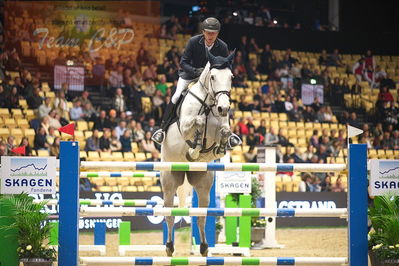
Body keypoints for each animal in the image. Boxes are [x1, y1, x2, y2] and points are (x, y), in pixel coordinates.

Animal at [161, 48, 236, 256]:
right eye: (213, 77)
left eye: (231, 77)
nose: (223, 108)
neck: (209, 104)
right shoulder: (186, 126)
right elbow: (198, 122)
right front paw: (194, 148)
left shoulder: (221, 127)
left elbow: (224, 131)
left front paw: (221, 146)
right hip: (170, 179)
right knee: (169, 214)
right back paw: (169, 247)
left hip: (203, 184)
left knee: (201, 216)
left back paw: (203, 247)